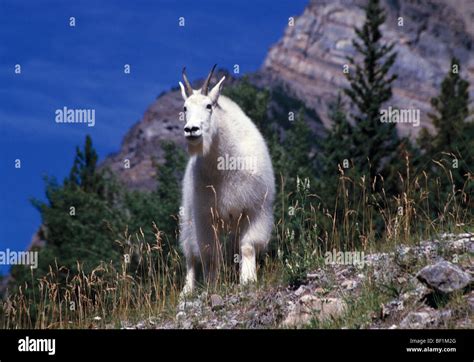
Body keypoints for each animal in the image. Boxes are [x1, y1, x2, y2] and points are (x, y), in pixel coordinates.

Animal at [178, 65, 274, 294]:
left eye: (209, 106)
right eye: (184, 108)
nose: (191, 130)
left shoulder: (255, 210)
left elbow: (247, 247)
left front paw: (248, 279)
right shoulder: (206, 218)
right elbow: (210, 254)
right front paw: (212, 285)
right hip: (188, 217)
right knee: (190, 255)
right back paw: (187, 290)